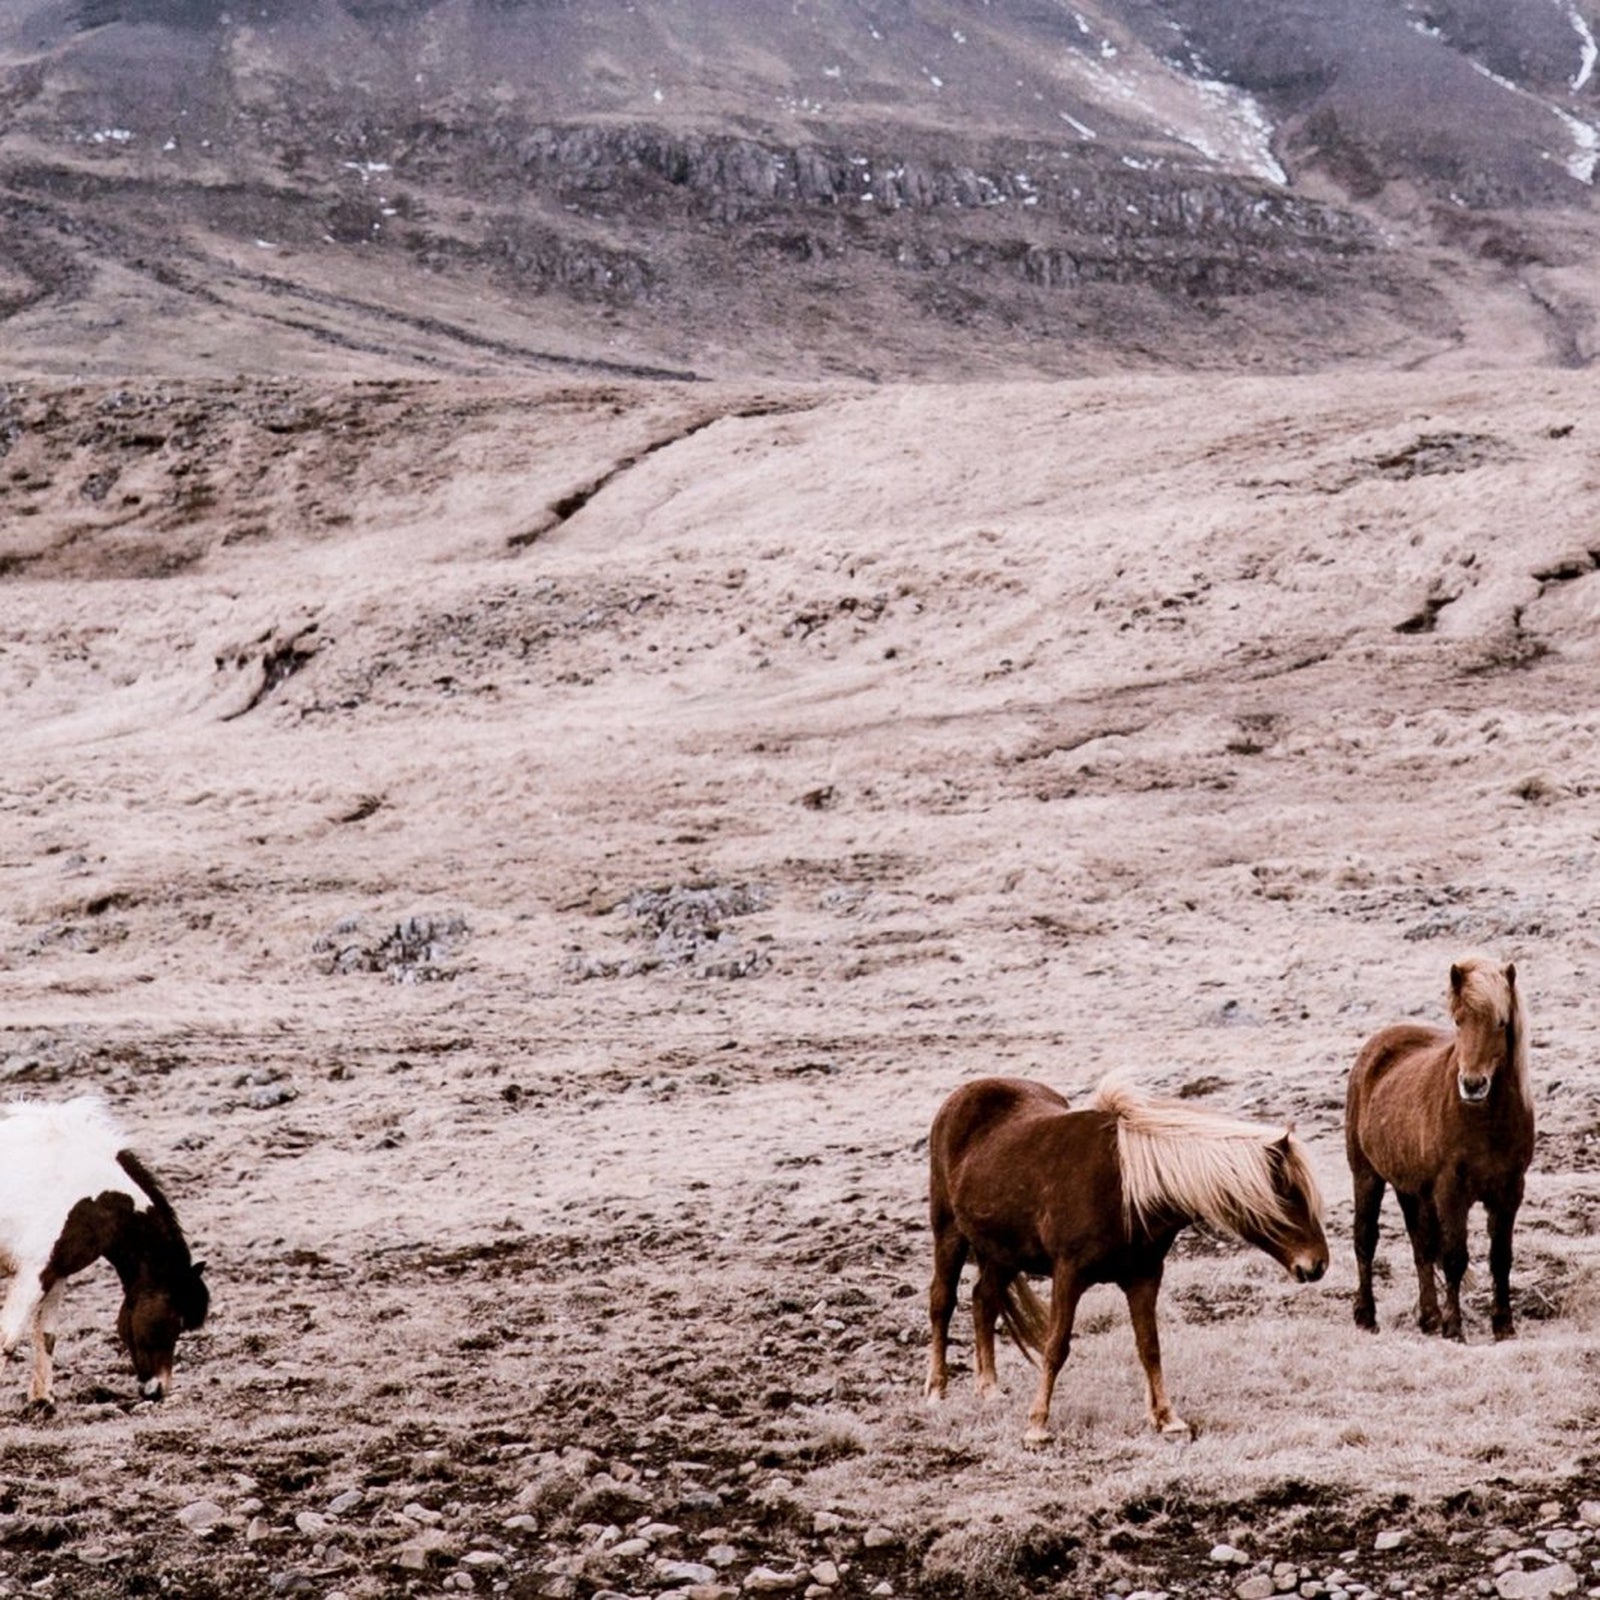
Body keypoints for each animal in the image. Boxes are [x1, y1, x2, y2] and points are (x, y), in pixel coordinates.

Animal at [0, 1097, 209, 1406]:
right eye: (175, 1320)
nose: (158, 1390)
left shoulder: (55, 1273)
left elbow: (46, 1335)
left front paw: (43, 1400)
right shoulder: (33, 1273)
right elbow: (8, 1338)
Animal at [925, 1074, 1327, 1444]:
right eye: (1289, 1196)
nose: (1318, 1264)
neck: (1127, 1190)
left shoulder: (1144, 1277)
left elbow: (1150, 1346)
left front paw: (1167, 1418)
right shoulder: (1068, 1275)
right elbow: (1056, 1347)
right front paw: (1037, 1425)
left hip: (1004, 1253)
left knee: (984, 1301)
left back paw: (989, 1388)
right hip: (950, 1234)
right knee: (943, 1302)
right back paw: (936, 1390)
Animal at [1345, 956, 1533, 1342]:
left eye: (1501, 1022)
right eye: (1458, 1020)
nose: (1473, 1085)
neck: (1486, 1121)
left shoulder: (1509, 1190)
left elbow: (1501, 1258)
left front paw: (1503, 1326)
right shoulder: (1451, 1190)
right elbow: (1454, 1258)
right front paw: (1455, 1328)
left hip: (1411, 1188)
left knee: (1420, 1243)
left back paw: (1429, 1317)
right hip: (1366, 1175)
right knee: (1365, 1240)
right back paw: (1367, 1316)